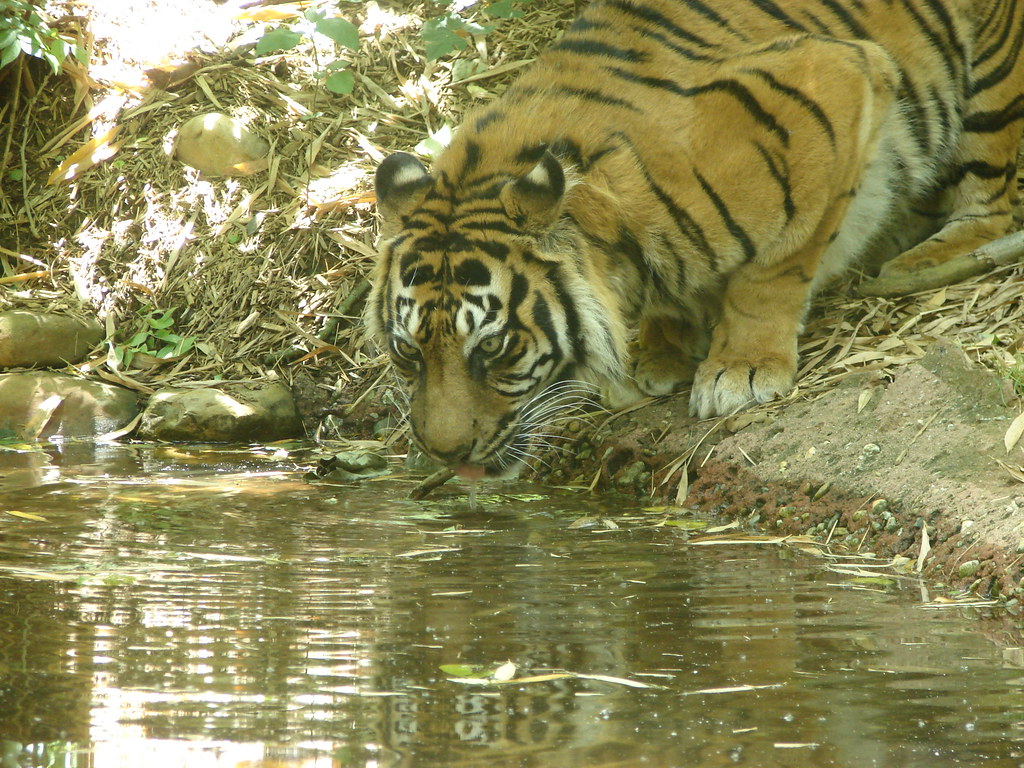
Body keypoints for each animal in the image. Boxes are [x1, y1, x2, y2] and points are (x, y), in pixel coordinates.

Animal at [365, 0, 1024, 480]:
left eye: (495, 347)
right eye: (406, 351)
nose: (445, 454)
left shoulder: (834, 83)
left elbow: (775, 268)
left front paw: (741, 368)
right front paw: (663, 350)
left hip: (991, 86)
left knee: (994, 201)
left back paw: (921, 258)